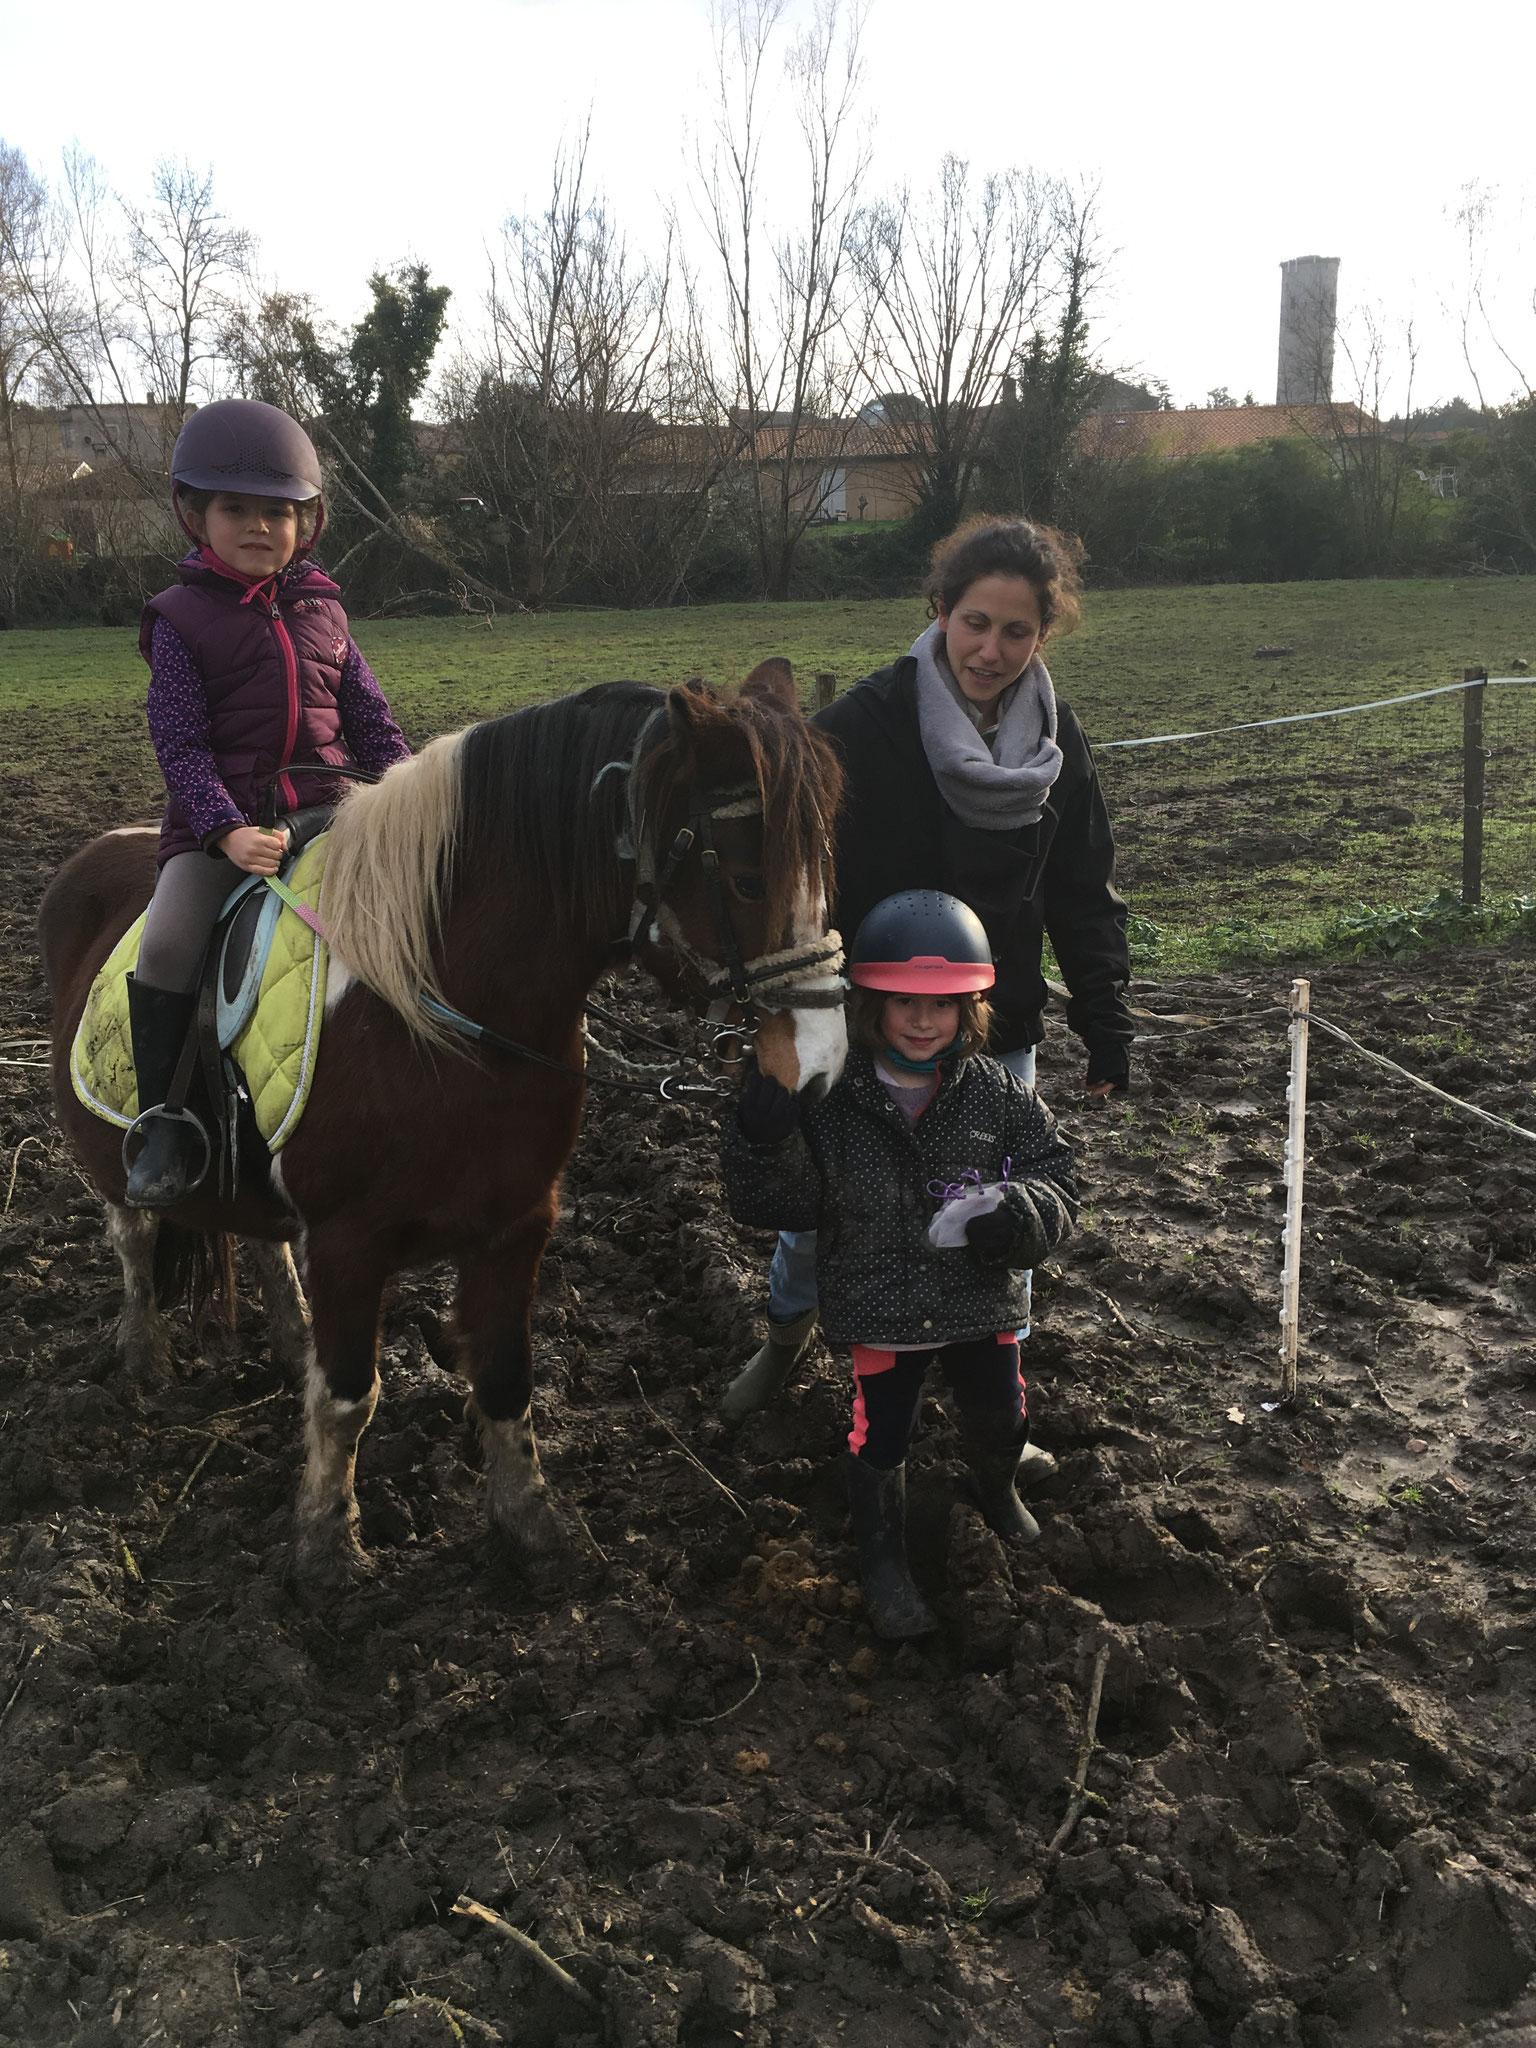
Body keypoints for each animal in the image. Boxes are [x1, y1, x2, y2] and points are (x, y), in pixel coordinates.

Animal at [36, 663, 847, 1589]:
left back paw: (289, 1336)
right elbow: (348, 1397)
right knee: (133, 1237)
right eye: (744, 878)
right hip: (113, 1152)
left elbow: (504, 1378)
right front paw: (326, 1546)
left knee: (263, 1240)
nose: (822, 1064)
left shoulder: (517, 1227)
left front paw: (535, 1528)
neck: (441, 1012)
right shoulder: (350, 1244)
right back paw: (142, 1356)